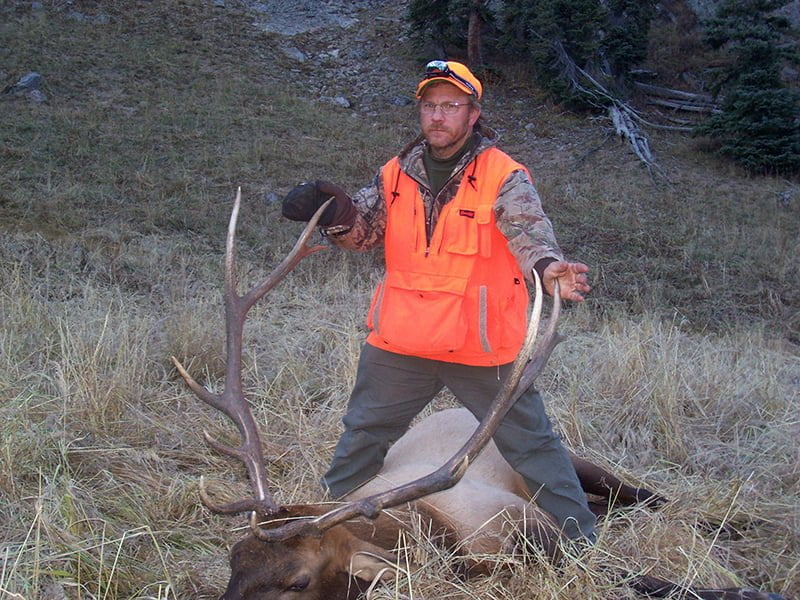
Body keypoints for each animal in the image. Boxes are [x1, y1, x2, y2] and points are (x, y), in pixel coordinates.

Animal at [173, 191, 786, 600]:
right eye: (234, 560)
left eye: (297, 581)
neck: (433, 535)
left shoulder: (540, 531)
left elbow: (640, 576)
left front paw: (753, 589)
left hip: (580, 463)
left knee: (643, 496)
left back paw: (738, 522)